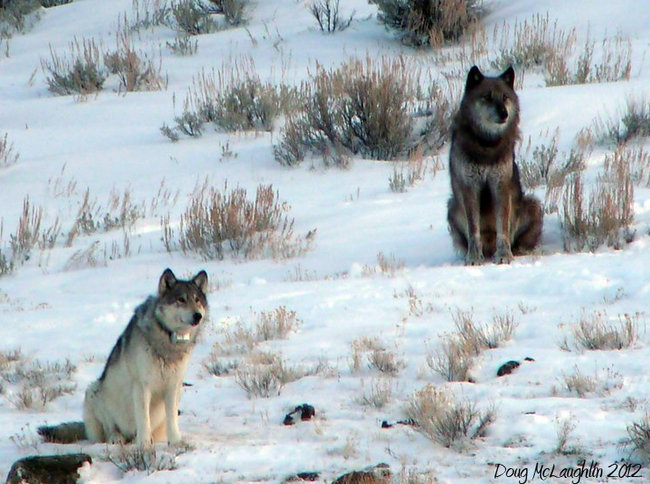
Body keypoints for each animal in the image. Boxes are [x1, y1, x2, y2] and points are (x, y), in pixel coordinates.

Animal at [39, 268, 206, 446]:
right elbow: (143, 420)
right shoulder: (142, 386)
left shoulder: (174, 386)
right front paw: (144, 446)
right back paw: (116, 438)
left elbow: (172, 419)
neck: (168, 342)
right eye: (181, 299)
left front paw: (176, 443)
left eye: (197, 300)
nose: (198, 316)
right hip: (95, 391)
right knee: (109, 430)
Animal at [446, 65, 540, 264]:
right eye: (487, 97)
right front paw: (474, 258)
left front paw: (504, 256)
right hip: (452, 207)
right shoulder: (470, 187)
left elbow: (503, 229)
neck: (486, 145)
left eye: (505, 97)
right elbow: (473, 230)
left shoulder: (500, 185)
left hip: (532, 205)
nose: (504, 113)